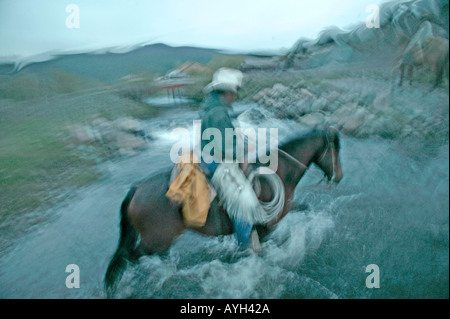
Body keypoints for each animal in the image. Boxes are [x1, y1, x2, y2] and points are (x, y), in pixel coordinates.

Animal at [103, 129, 342, 296]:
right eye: (336, 150)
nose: (339, 176)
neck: (277, 174)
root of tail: (137, 188)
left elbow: (305, 209)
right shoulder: (265, 227)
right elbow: (259, 251)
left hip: (161, 240)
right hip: (155, 240)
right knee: (128, 256)